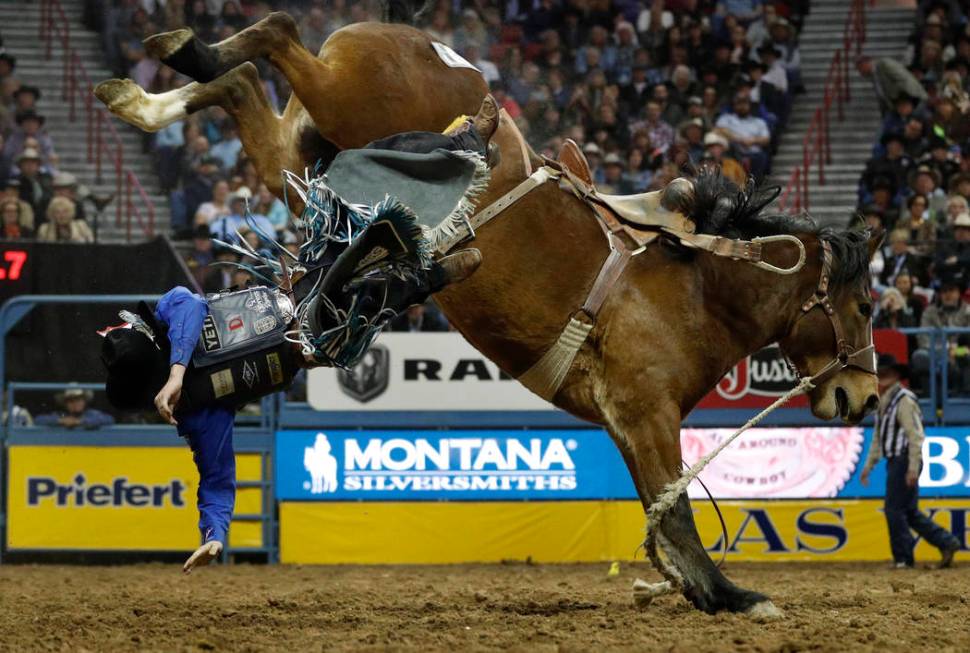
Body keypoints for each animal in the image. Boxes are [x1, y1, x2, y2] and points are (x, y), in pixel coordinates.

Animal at [94, 2, 880, 616]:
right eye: (867, 302)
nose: (866, 396)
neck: (690, 289)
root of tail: (422, 43)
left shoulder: (626, 421)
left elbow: (661, 512)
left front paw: (697, 588)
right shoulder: (646, 410)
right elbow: (679, 506)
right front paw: (734, 595)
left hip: (305, 151)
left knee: (244, 85)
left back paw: (145, 95)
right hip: (342, 104)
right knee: (279, 36)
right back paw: (181, 51)